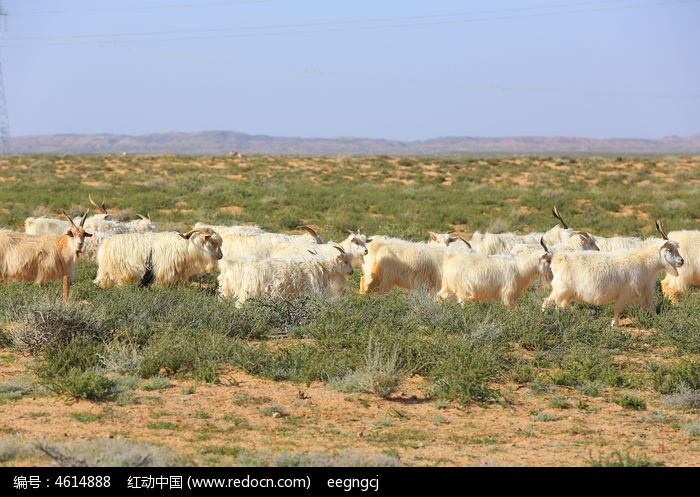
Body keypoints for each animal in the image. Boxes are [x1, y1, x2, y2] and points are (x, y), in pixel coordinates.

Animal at [540, 220, 684, 328]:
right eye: (669, 249)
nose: (681, 261)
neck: (643, 262)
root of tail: (558, 258)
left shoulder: (644, 294)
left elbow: (652, 308)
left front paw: (657, 320)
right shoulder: (625, 293)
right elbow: (618, 310)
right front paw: (615, 325)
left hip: (567, 293)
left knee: (559, 305)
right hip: (561, 289)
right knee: (547, 301)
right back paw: (544, 318)